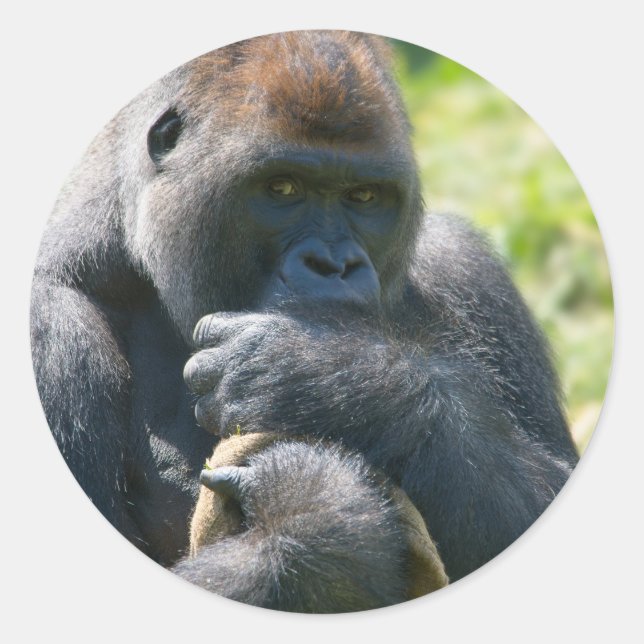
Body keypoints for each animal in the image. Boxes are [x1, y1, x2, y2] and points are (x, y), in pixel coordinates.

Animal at [31, 30, 578, 609]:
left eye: (363, 196)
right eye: (283, 189)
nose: (333, 266)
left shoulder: (466, 269)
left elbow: (544, 490)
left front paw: (327, 377)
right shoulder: (50, 329)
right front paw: (320, 519)